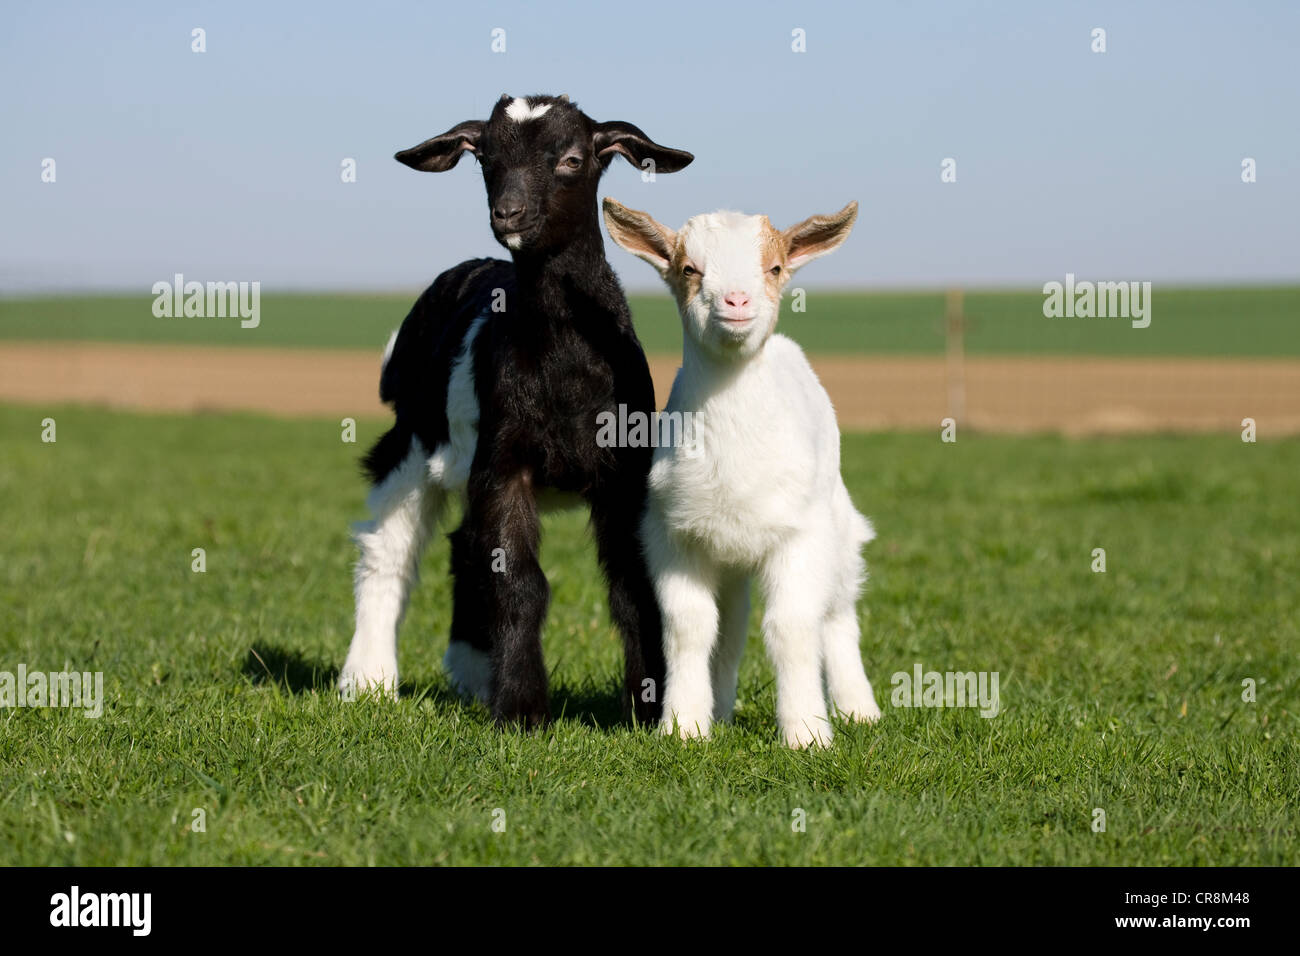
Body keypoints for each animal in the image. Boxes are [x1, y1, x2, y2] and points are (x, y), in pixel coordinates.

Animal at [338, 95, 693, 728]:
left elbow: (635, 583)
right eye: (485, 158)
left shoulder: (625, 472)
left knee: (464, 549)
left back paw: (470, 674)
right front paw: (522, 709)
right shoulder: (505, 463)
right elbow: (521, 581)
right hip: (413, 439)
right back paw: (369, 680)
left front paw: (649, 706)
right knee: (388, 551)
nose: (508, 213)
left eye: (572, 158)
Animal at [602, 198, 880, 747]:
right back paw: (722, 709)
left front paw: (806, 733)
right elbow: (690, 627)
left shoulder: (800, 535)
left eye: (774, 268)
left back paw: (859, 708)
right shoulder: (675, 536)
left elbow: (792, 627)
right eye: (689, 269)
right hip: (728, 560)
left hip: (838, 530)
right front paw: (684, 726)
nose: (735, 300)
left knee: (838, 614)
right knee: (729, 629)